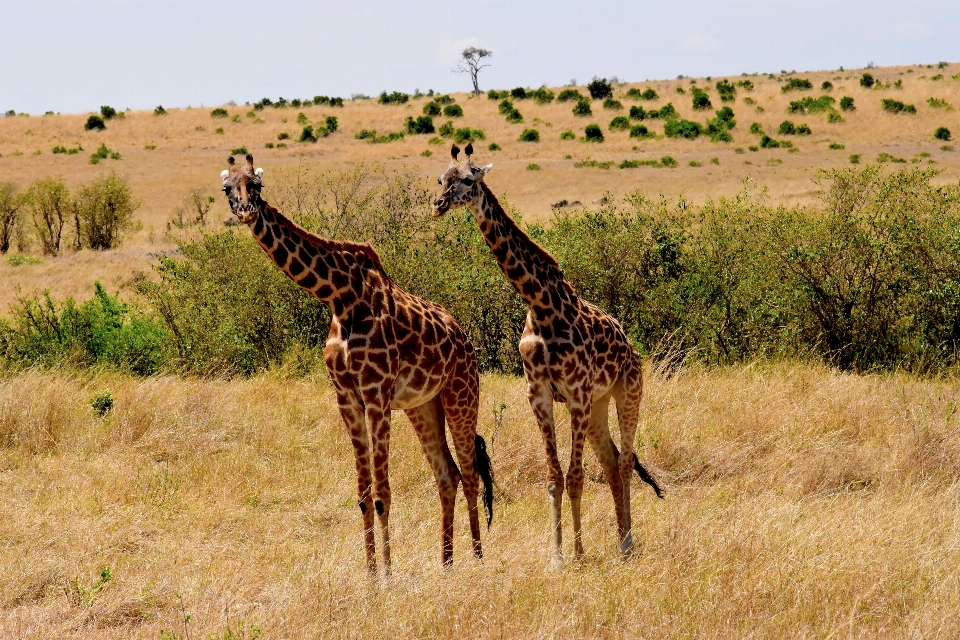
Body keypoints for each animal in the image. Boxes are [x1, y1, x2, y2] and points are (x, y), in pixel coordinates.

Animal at [222, 154, 496, 568]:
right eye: (227, 189)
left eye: (257, 185)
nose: (246, 211)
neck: (339, 297)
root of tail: (465, 339)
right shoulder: (347, 398)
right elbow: (364, 496)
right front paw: (369, 573)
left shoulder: (376, 394)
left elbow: (383, 494)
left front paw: (388, 574)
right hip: (422, 405)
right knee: (447, 474)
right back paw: (446, 564)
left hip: (461, 392)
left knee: (469, 472)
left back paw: (477, 561)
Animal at [434, 144, 664, 564]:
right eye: (442, 178)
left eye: (469, 180)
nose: (438, 204)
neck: (540, 304)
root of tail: (629, 344)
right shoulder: (539, 394)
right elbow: (555, 477)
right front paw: (557, 555)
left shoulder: (575, 394)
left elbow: (575, 477)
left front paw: (577, 552)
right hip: (599, 405)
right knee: (610, 462)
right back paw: (620, 540)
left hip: (627, 391)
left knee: (624, 461)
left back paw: (627, 543)